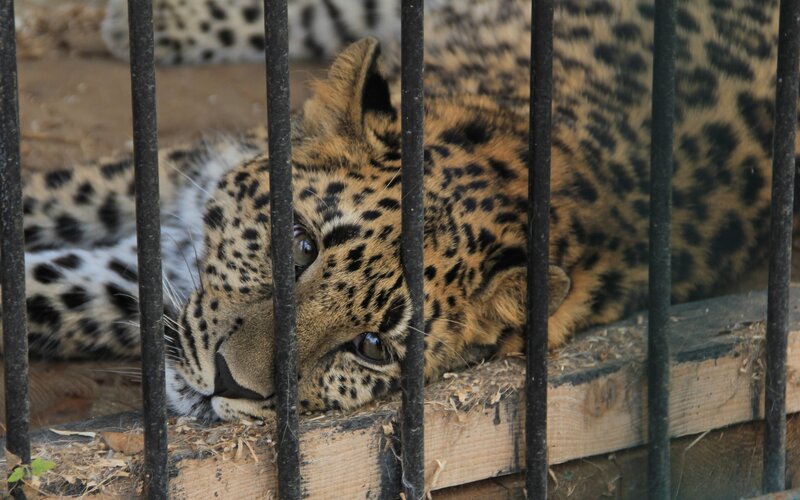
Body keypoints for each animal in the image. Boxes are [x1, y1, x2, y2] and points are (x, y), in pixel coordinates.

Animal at [2, 0, 786, 422]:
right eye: (301, 243)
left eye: (371, 347)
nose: (228, 383)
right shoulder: (173, 172)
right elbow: (60, 198)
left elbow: (75, 290)